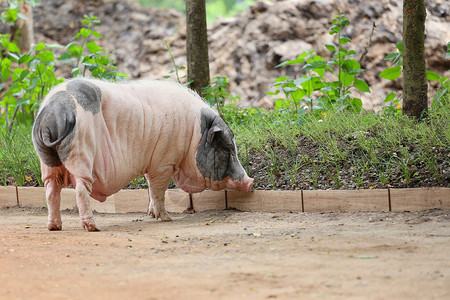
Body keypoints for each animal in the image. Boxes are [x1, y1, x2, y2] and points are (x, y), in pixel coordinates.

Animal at [32, 78, 253, 231]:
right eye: (227, 148)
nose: (250, 182)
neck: (193, 136)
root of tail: (52, 113)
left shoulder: (154, 164)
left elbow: (149, 188)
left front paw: (152, 215)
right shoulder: (164, 163)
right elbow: (158, 192)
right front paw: (166, 218)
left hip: (47, 162)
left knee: (51, 191)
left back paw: (54, 227)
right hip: (81, 155)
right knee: (80, 190)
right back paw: (93, 227)